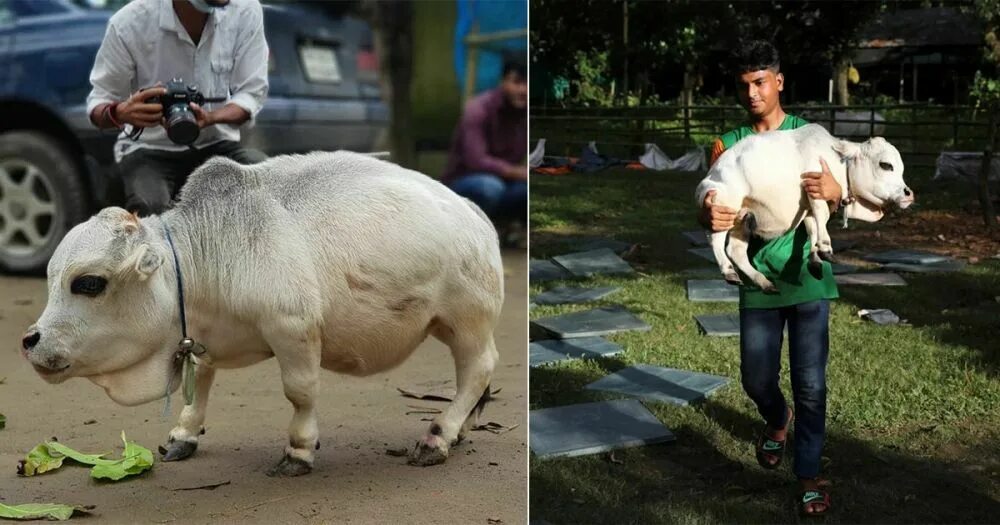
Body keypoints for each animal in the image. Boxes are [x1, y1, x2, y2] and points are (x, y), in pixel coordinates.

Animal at [19, 151, 504, 476]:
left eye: (88, 283)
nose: (30, 341)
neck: (203, 258)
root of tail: (473, 212)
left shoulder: (293, 329)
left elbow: (300, 392)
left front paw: (299, 450)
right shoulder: (203, 339)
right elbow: (201, 384)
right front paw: (184, 434)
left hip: (468, 320)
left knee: (478, 369)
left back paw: (439, 435)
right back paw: (460, 429)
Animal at [695, 123, 914, 292]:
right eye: (886, 165)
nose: (908, 194)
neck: (837, 163)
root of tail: (709, 175)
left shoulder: (808, 207)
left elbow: (813, 228)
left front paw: (815, 259)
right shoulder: (814, 189)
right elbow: (822, 216)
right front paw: (825, 247)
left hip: (743, 219)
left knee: (736, 250)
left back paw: (764, 282)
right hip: (724, 207)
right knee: (715, 239)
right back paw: (728, 271)